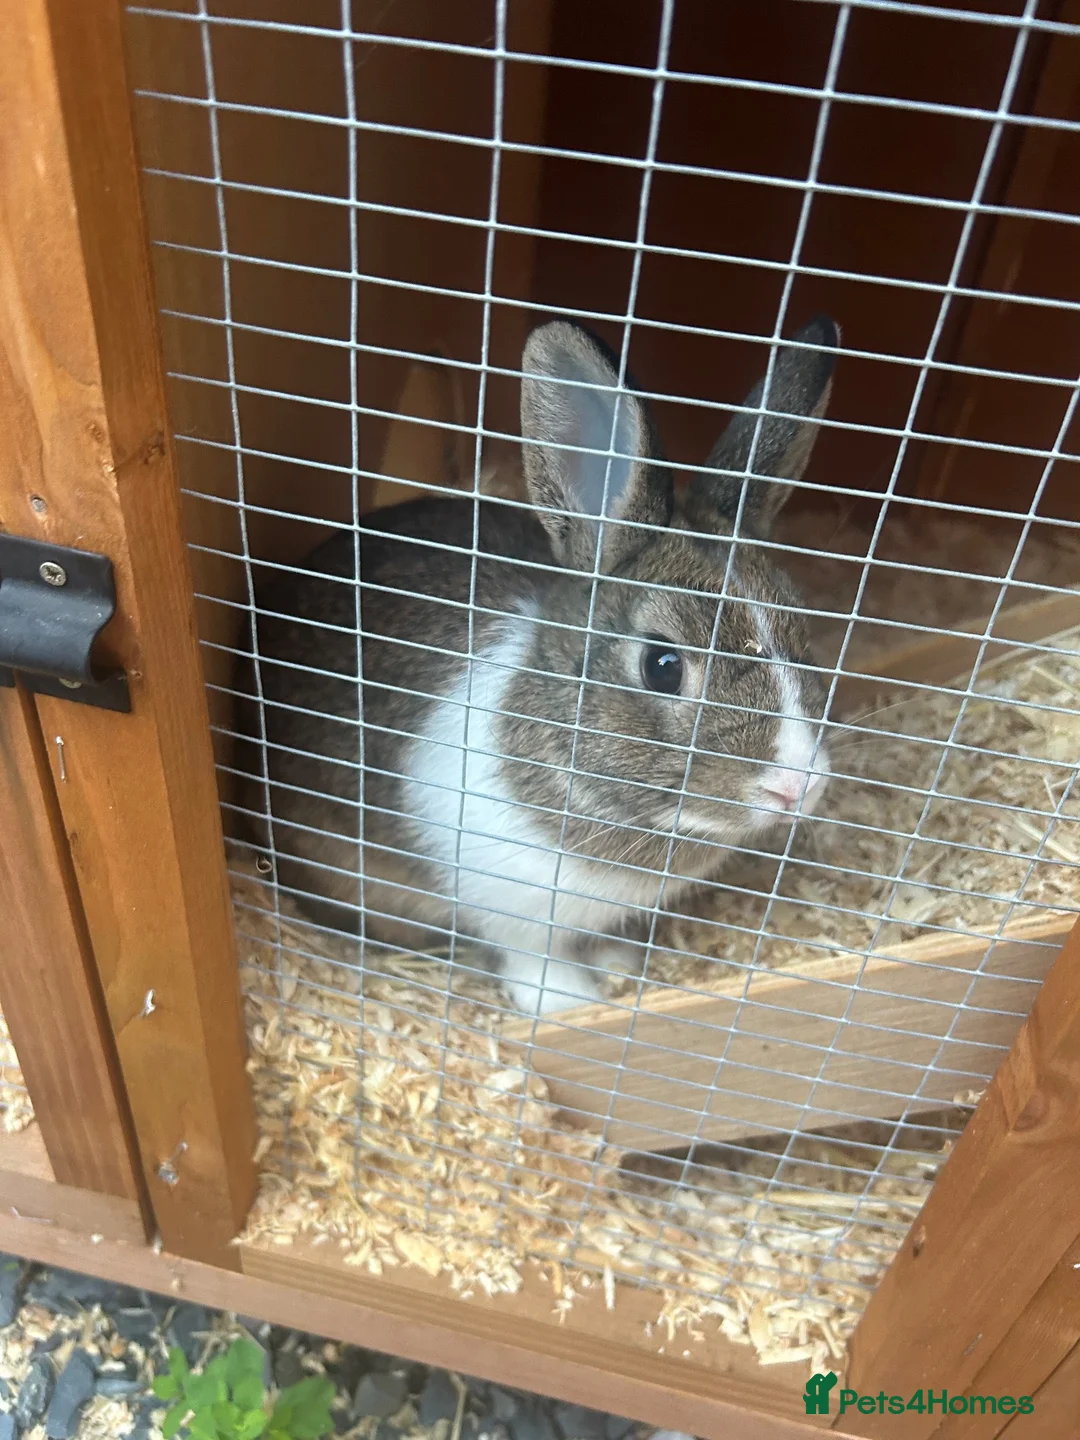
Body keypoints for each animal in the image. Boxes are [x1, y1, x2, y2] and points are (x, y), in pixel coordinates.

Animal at [235, 315, 838, 1017]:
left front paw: (616, 964)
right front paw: (571, 1005)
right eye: (662, 666)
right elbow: (533, 961)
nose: (796, 786)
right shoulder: (510, 908)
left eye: (803, 635)